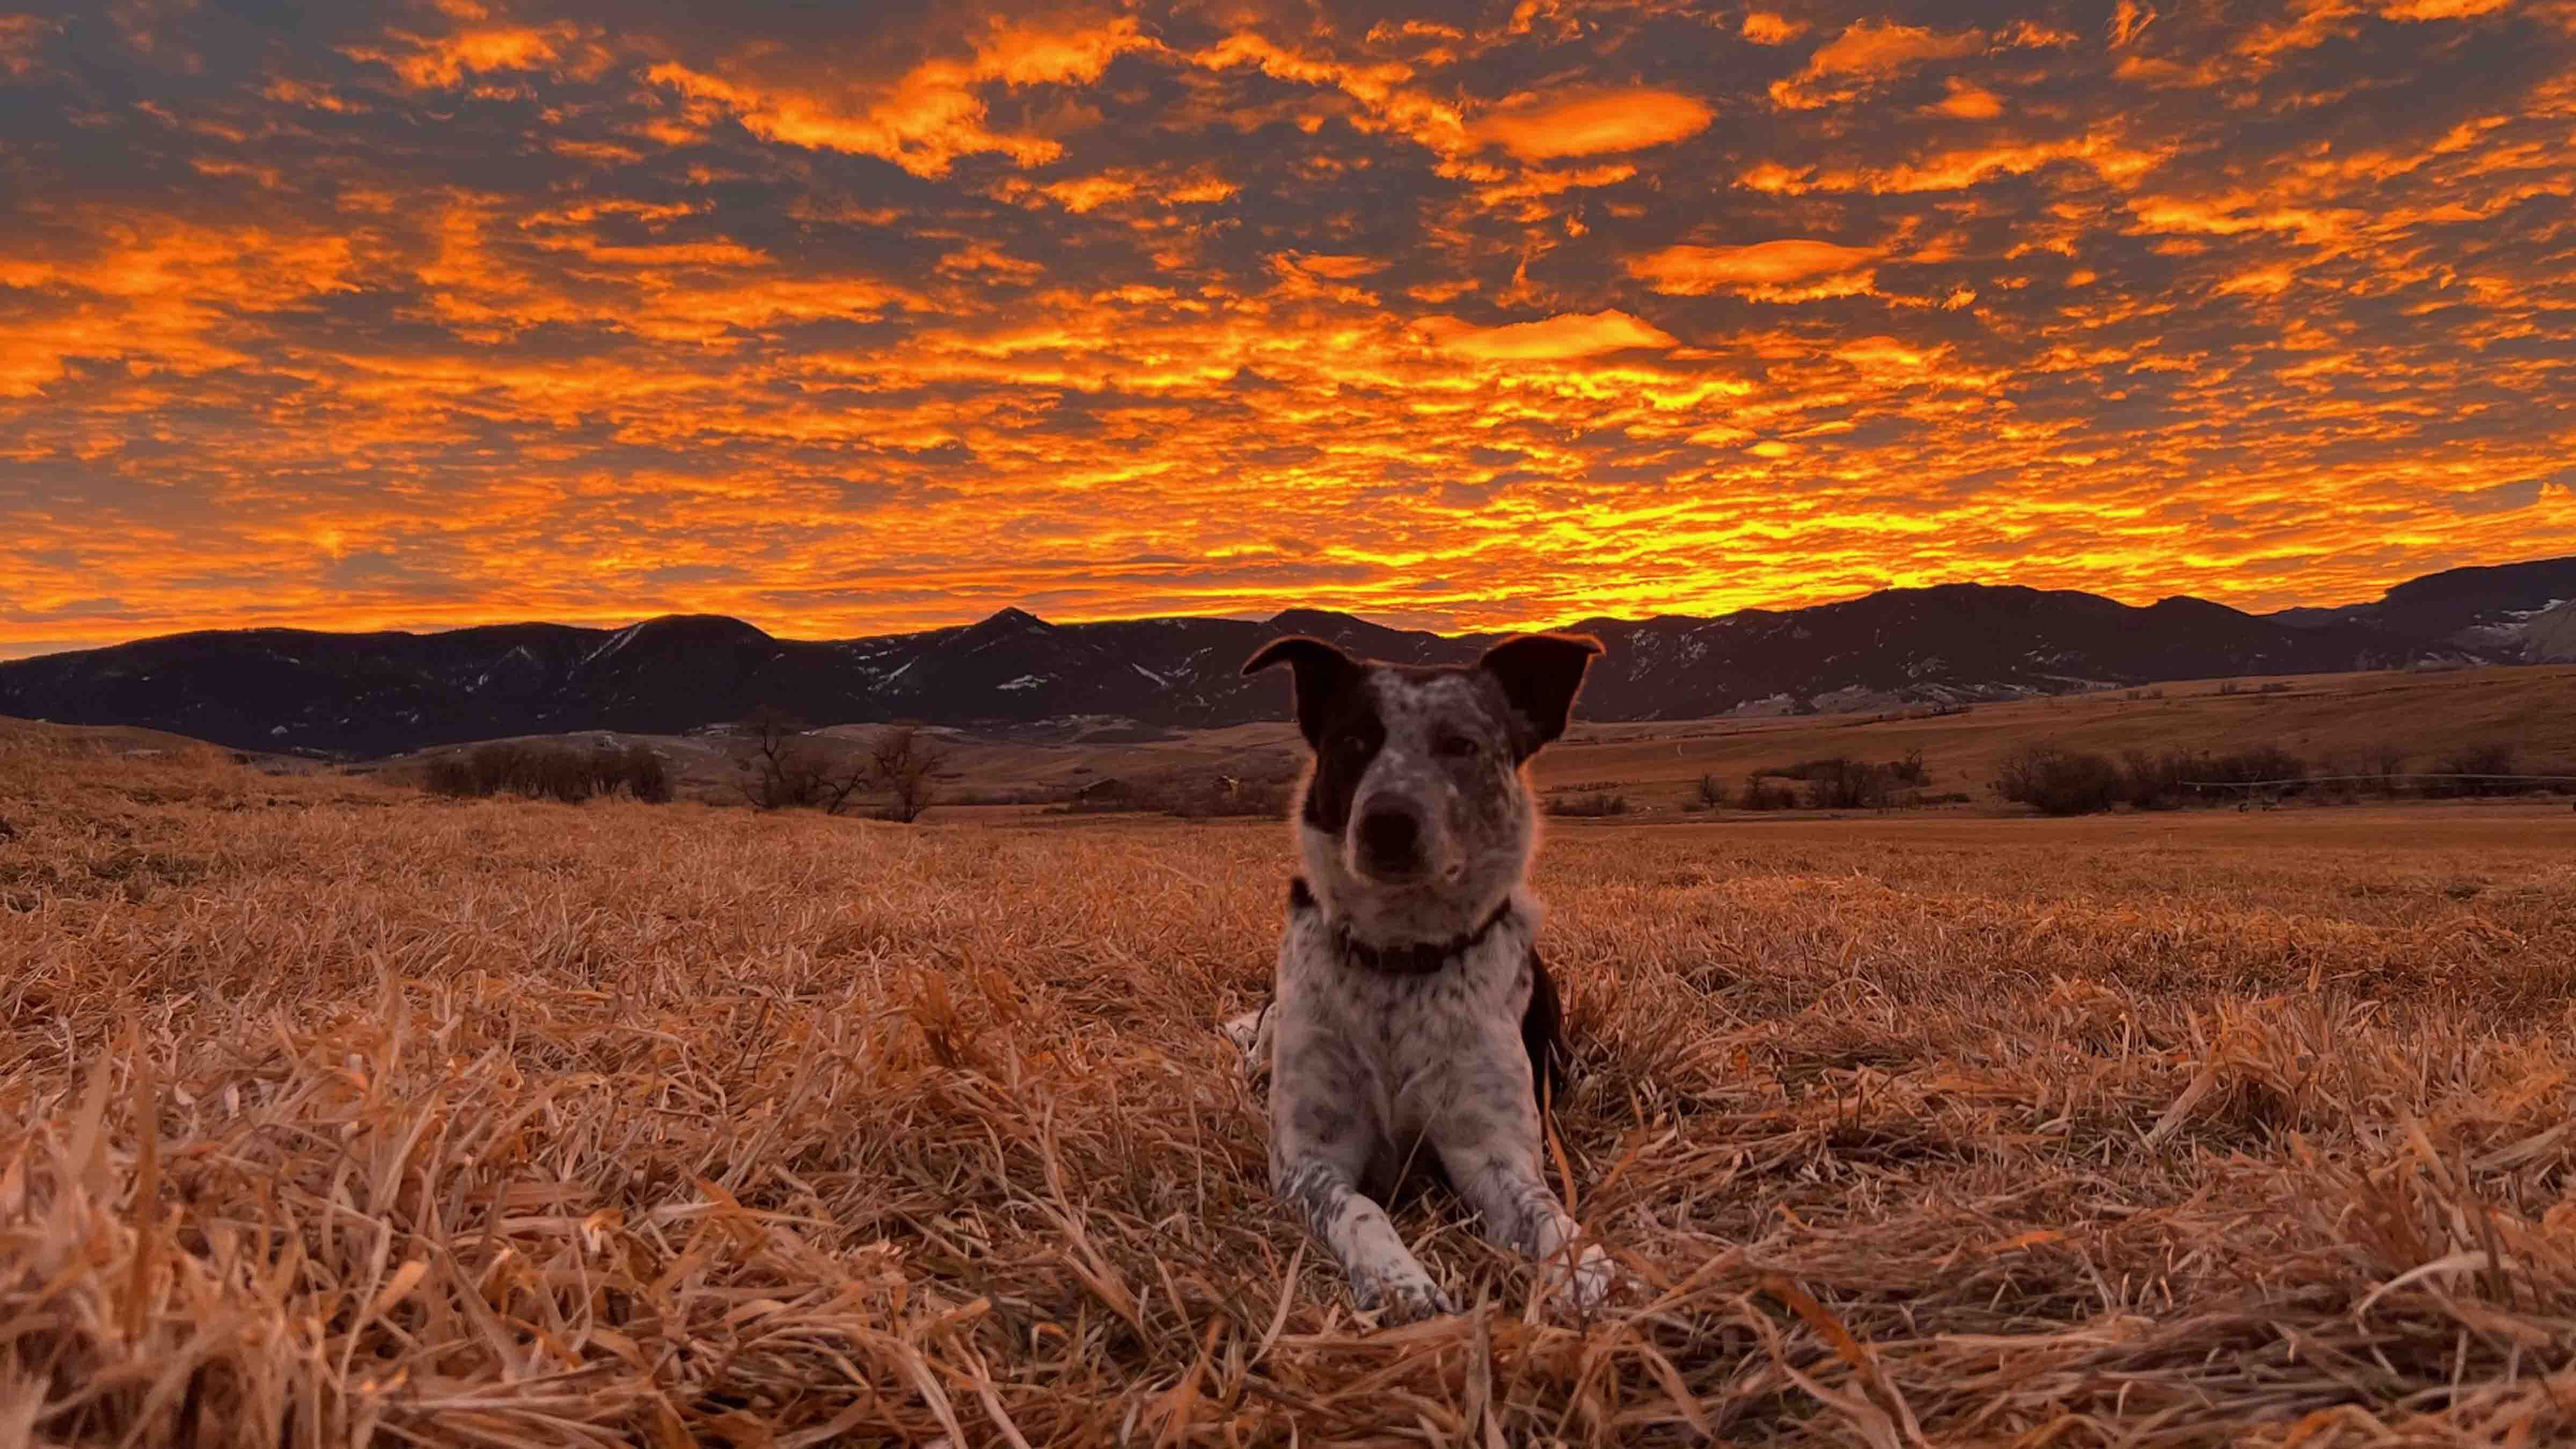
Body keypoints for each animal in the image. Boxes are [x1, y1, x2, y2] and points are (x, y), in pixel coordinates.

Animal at [1226, 626, 1607, 1315]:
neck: (1400, 963)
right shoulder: (1307, 1160)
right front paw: (1398, 1281)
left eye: (1461, 744)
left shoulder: (1491, 1154)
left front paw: (1576, 1267)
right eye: (1354, 741)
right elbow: (1361, 1210)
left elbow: (1542, 1209)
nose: (1387, 821)